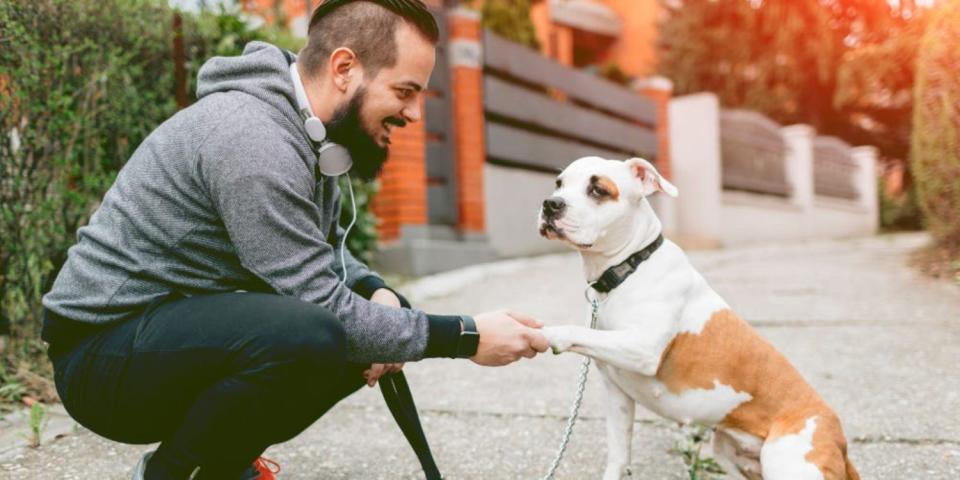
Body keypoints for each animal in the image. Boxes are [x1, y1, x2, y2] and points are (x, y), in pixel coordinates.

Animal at [536, 157, 860, 480]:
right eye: (559, 184)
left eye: (598, 190)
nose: (551, 204)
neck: (631, 266)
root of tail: (841, 443)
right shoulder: (618, 396)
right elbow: (618, 455)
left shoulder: (643, 348)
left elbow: (576, 331)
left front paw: (548, 333)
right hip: (729, 451)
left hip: (786, 461)